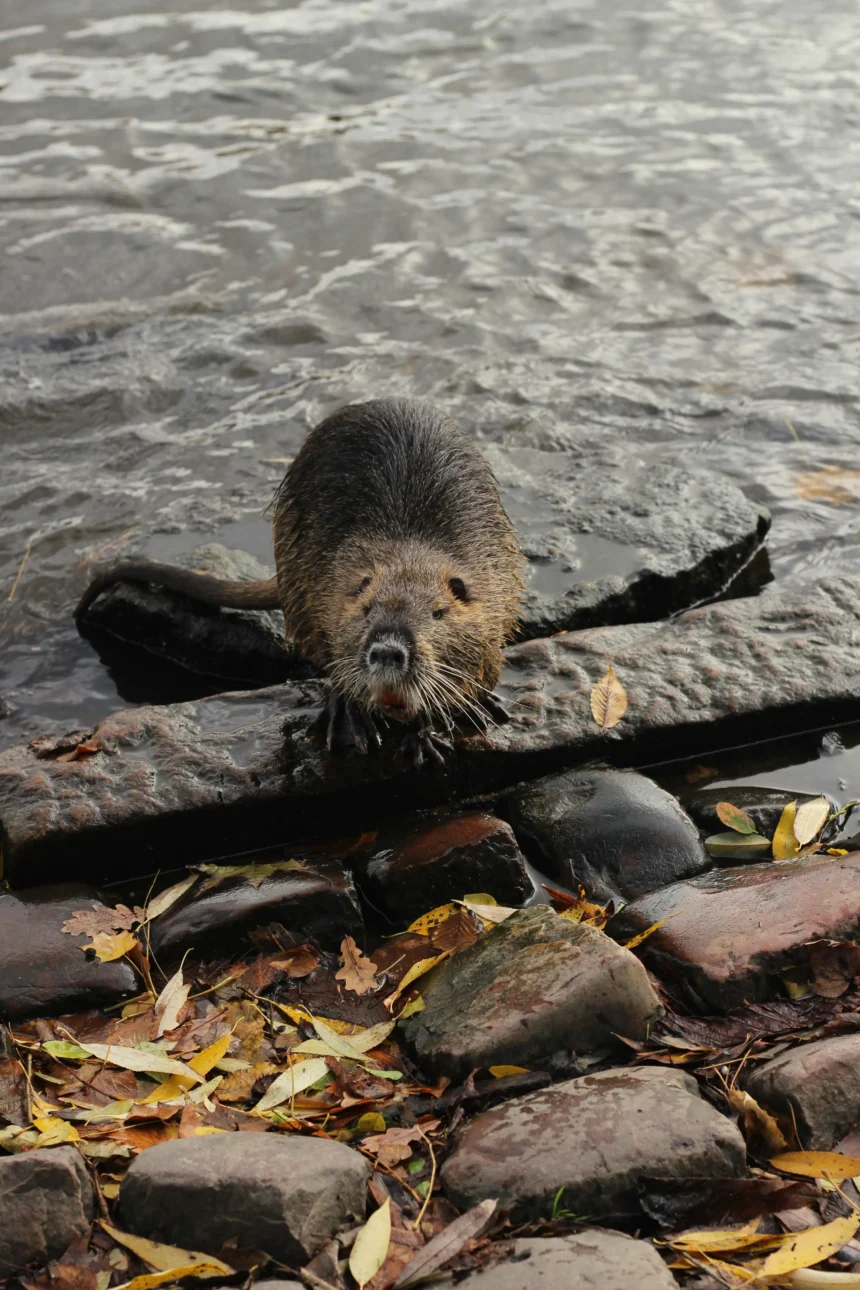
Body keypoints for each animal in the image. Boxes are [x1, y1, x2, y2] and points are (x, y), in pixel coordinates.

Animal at [77, 399, 526, 763]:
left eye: (438, 613)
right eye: (366, 610)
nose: (387, 652)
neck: (409, 547)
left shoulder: (495, 578)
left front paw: (433, 731)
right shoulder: (323, 577)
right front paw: (362, 719)